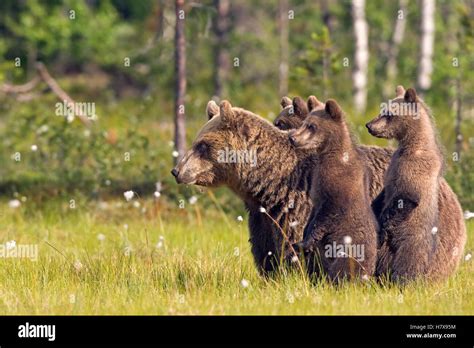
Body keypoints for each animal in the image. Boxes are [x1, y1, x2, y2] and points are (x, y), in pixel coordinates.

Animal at [171, 100, 314, 274]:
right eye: (196, 143)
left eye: (202, 145)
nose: (176, 171)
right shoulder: (261, 217)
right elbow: (265, 248)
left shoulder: (295, 206)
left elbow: (292, 244)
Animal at [288, 99, 378, 282]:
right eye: (304, 123)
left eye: (312, 126)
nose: (292, 138)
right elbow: (313, 214)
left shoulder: (338, 187)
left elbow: (327, 214)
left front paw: (303, 242)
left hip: (349, 253)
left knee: (341, 270)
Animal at [366, 86, 466, 282]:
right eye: (382, 110)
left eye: (388, 113)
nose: (369, 125)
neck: (411, 144)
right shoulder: (393, 167)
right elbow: (384, 193)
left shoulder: (414, 169)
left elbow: (406, 197)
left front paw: (382, 226)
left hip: (414, 240)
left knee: (408, 262)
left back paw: (403, 280)